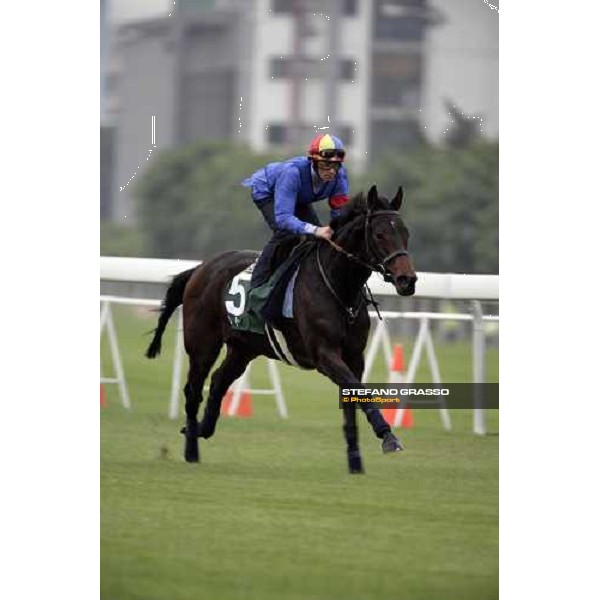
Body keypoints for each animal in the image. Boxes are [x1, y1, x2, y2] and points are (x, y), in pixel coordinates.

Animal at [145, 184, 418, 474]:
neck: (338, 286)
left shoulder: (354, 357)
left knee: (219, 380)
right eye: (380, 234)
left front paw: (355, 461)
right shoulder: (325, 355)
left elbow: (352, 398)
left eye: (405, 233)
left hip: (243, 348)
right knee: (193, 390)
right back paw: (191, 450)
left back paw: (200, 430)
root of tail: (201, 267)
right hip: (203, 344)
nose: (407, 280)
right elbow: (359, 391)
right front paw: (388, 436)